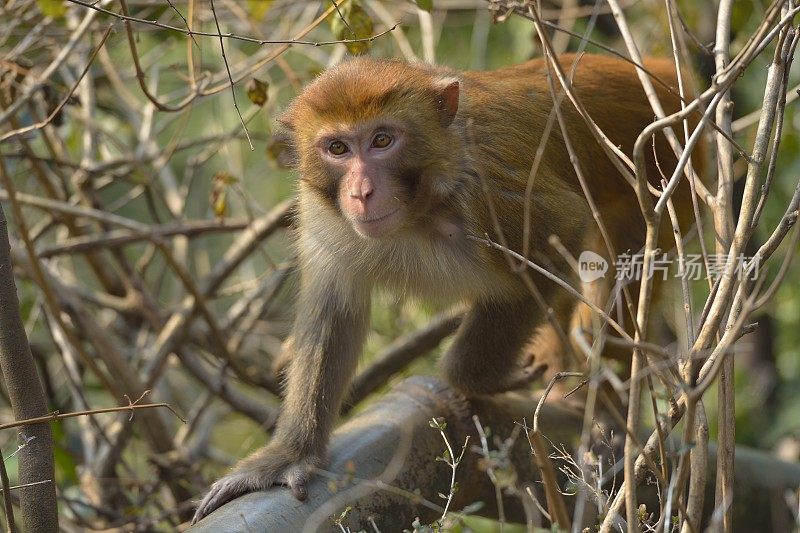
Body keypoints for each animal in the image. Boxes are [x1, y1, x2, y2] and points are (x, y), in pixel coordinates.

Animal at [191, 53, 696, 520]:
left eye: (382, 140)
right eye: (337, 148)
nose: (361, 192)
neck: (418, 210)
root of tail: (656, 73)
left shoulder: (488, 191)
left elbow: (557, 243)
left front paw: (476, 376)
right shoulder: (323, 213)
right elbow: (334, 314)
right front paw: (290, 455)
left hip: (668, 181)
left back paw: (606, 405)